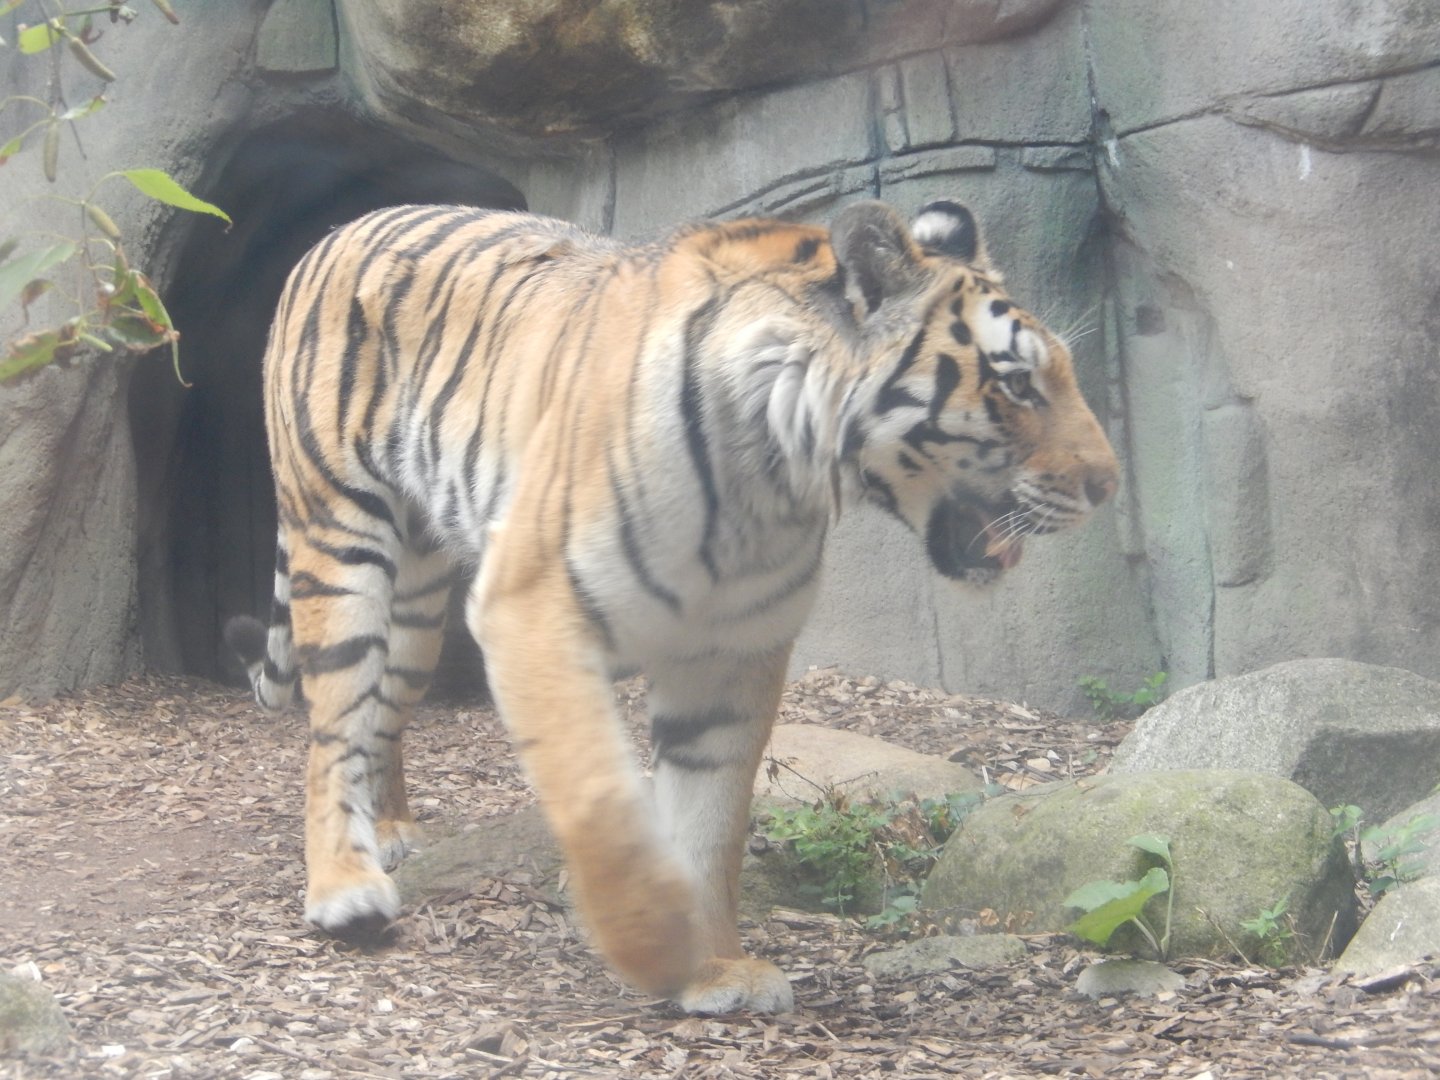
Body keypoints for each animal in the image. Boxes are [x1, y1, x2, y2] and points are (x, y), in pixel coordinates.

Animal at [225, 197, 1119, 1014]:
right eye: (1016, 385)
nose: (1108, 486)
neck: (773, 479)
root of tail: (343, 225)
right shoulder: (532, 610)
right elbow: (601, 804)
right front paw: (650, 947)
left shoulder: (732, 649)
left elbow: (712, 819)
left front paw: (713, 967)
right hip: (340, 541)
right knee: (333, 724)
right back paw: (345, 885)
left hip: (417, 604)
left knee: (383, 711)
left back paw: (392, 831)